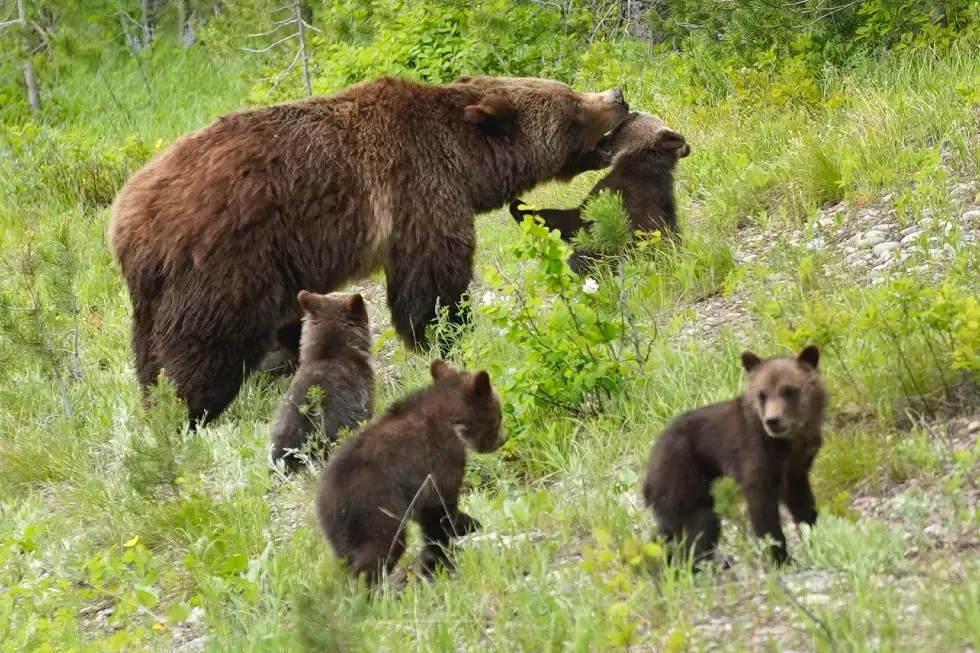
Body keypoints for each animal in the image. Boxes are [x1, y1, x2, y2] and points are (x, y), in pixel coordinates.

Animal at [109, 75, 628, 428]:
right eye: (573, 106)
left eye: (569, 88)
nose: (617, 95)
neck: (465, 161)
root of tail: (127, 221)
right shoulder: (419, 190)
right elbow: (432, 281)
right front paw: (446, 334)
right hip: (225, 260)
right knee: (202, 343)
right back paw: (191, 409)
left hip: (158, 294)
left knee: (151, 350)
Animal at [318, 360, 510, 584]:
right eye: (500, 414)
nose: (504, 438)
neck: (453, 422)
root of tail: (325, 503)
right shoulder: (439, 459)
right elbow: (439, 510)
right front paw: (439, 559)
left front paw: (468, 523)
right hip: (374, 508)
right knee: (382, 547)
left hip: (342, 534)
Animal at [644, 346, 828, 564]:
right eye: (762, 394)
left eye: (789, 390)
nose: (772, 420)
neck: (789, 441)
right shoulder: (756, 454)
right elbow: (762, 506)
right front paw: (779, 556)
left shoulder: (798, 465)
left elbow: (801, 502)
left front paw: (815, 536)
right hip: (681, 473)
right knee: (698, 521)